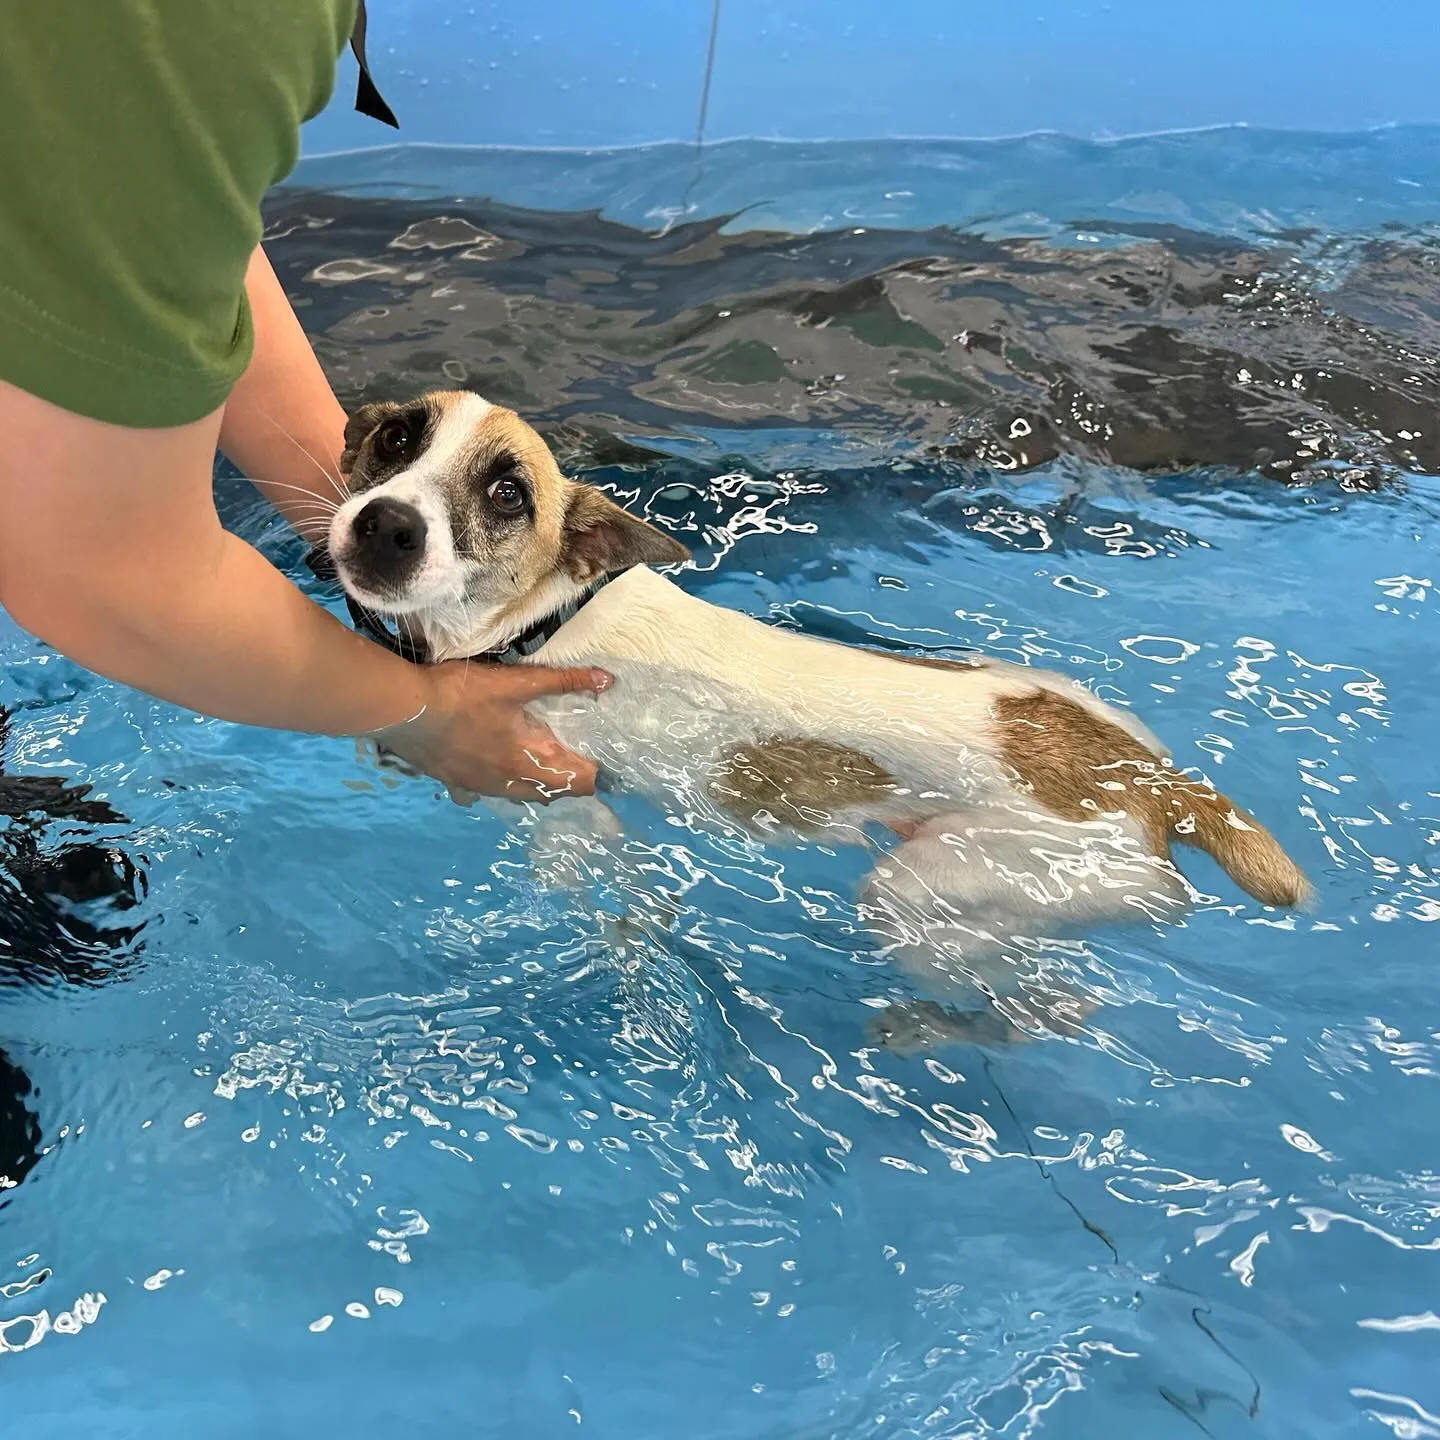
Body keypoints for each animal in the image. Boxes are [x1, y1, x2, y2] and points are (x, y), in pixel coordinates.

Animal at [321, 388, 1313, 1054]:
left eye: (507, 494)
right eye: (397, 438)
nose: (385, 526)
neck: (548, 620)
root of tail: (1162, 788)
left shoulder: (562, 797)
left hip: (932, 887)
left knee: (1046, 1003)